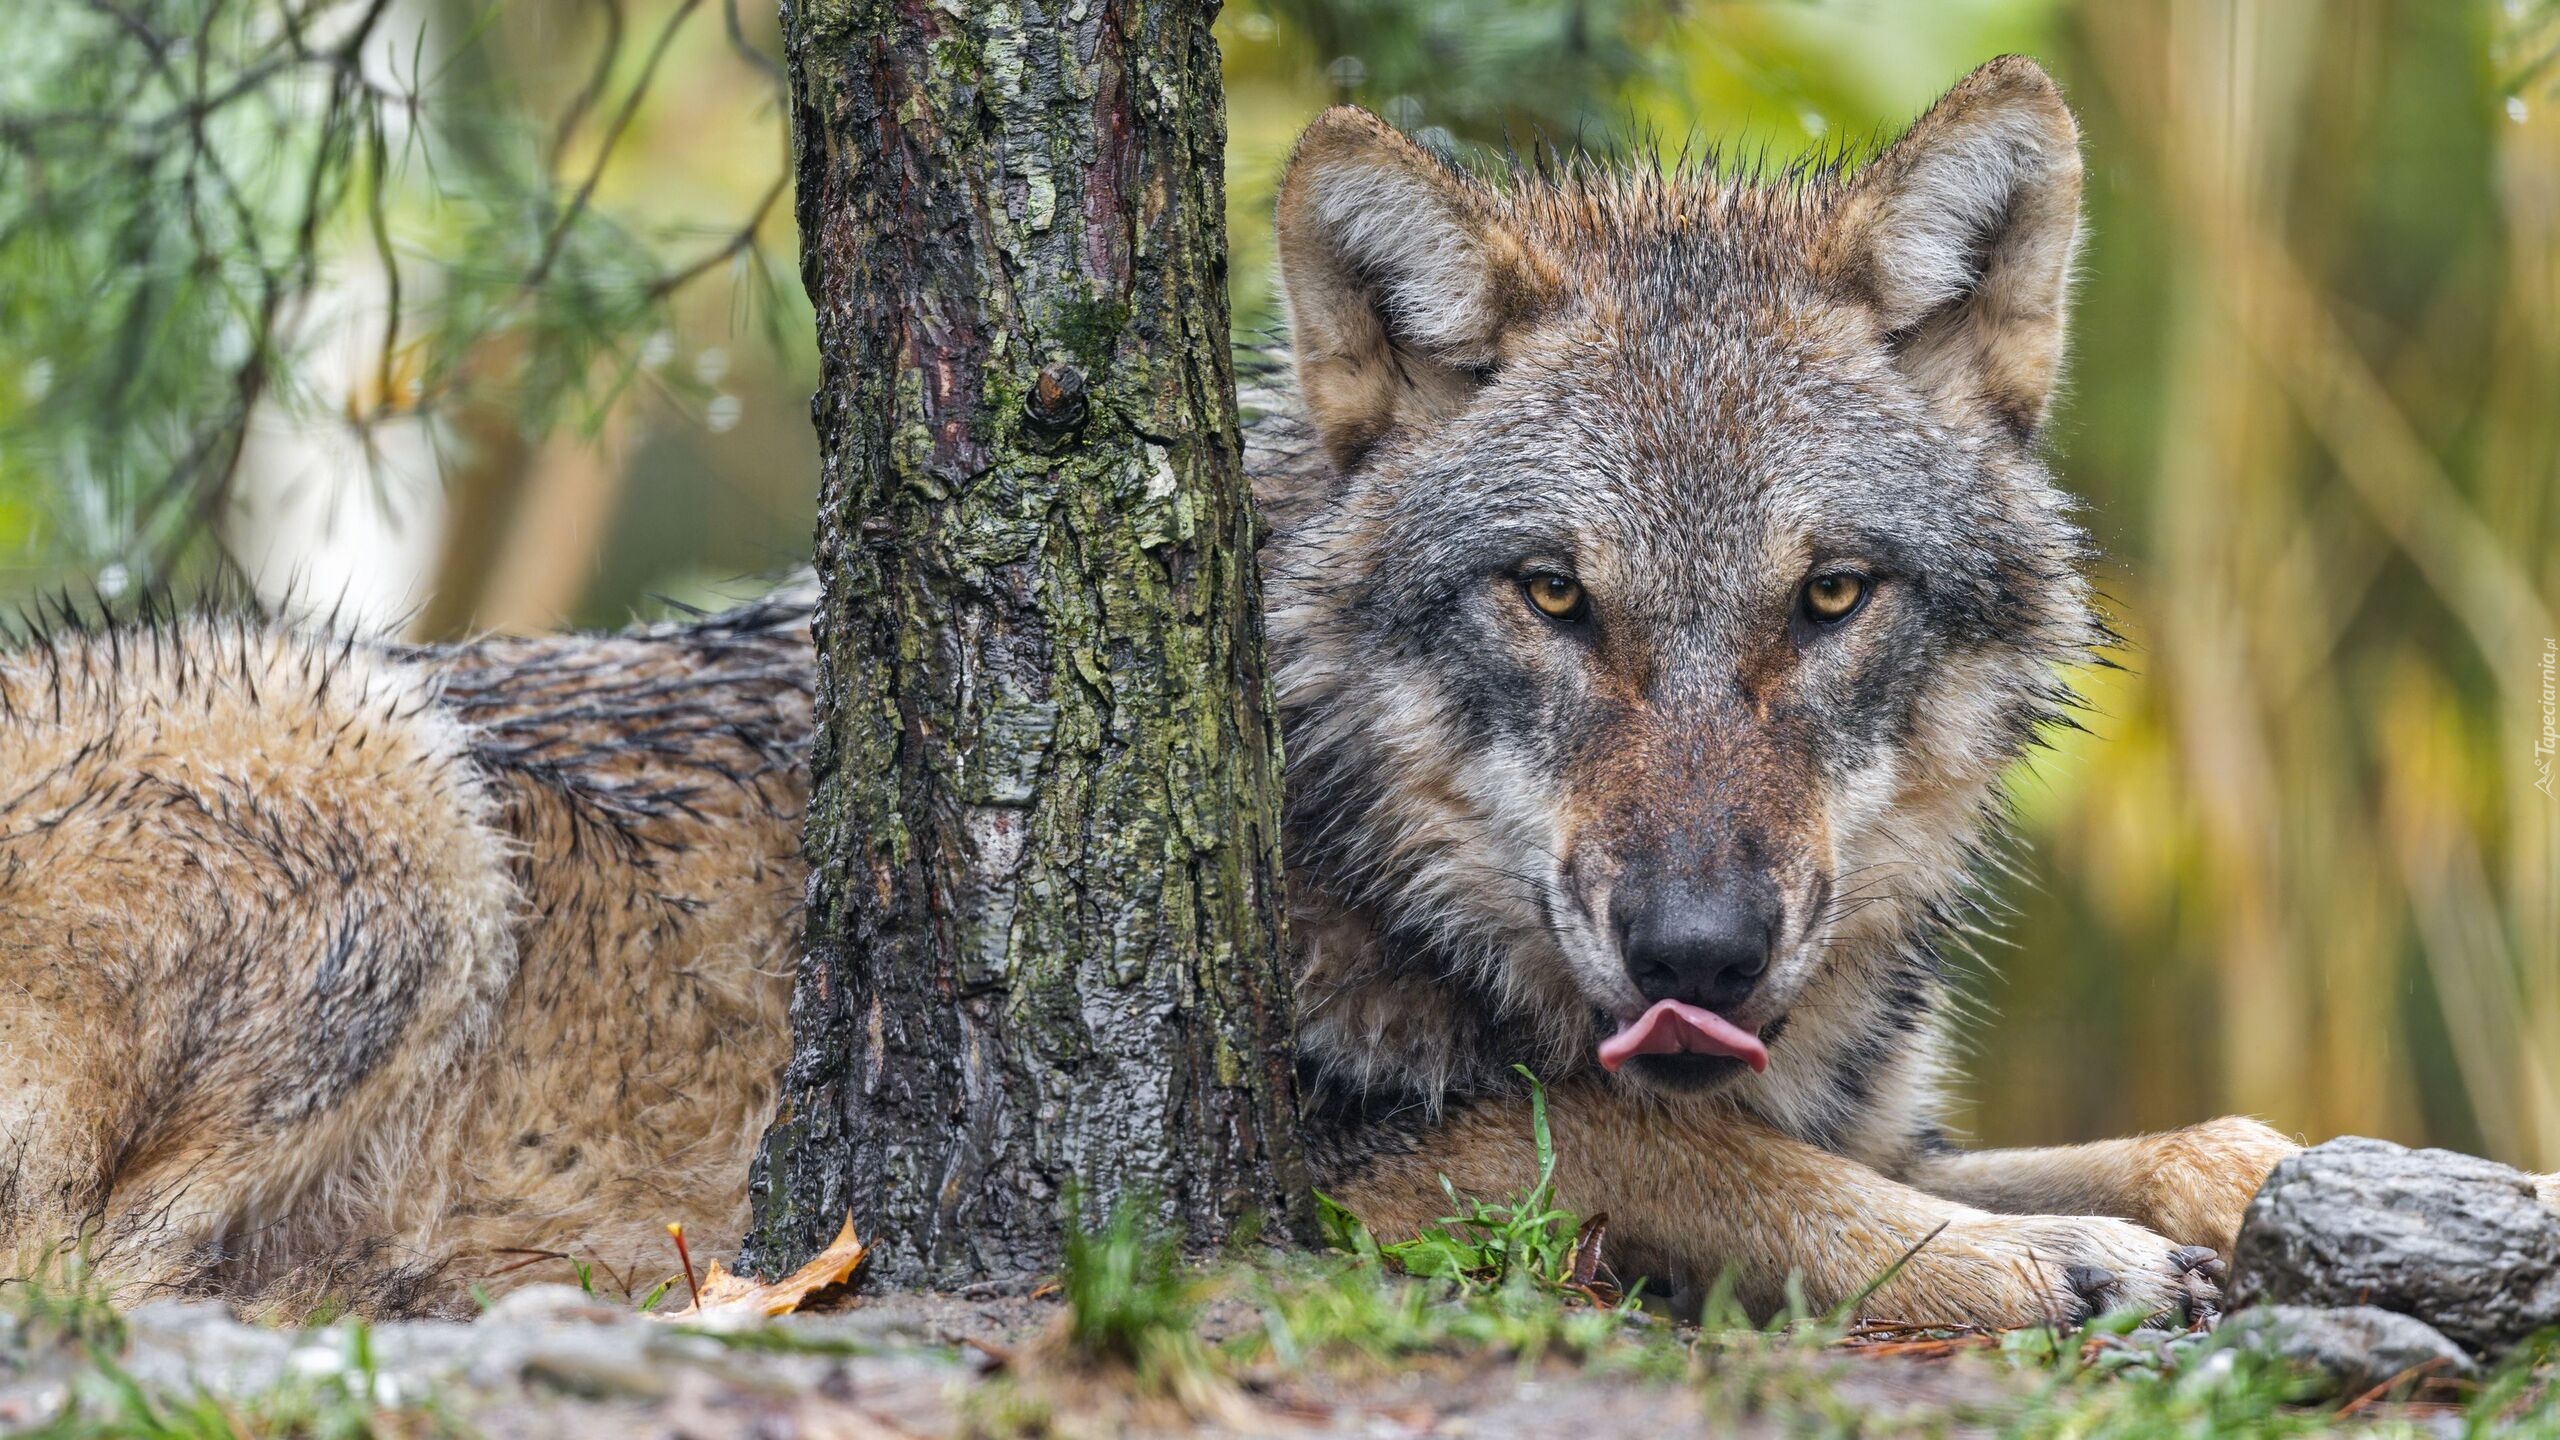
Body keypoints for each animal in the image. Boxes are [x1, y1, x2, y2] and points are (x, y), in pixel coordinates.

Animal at [10, 61, 2549, 1322]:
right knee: (112, 1278)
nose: (1700, 944)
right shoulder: (1336, 1174)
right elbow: (1667, 1138)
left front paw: (2349, 1193)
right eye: (1549, 597)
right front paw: (2034, 1258)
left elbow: (2191, 1134)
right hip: (374, 778)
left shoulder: (1854, 1092)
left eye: (1827, 598)